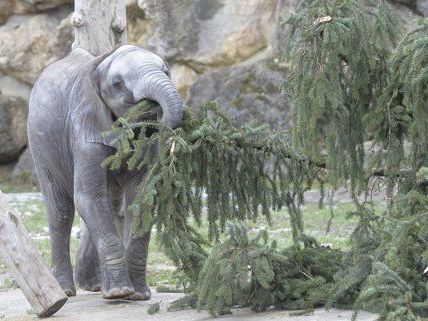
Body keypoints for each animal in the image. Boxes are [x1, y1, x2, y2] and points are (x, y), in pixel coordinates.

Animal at [26, 45, 184, 300]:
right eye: (117, 84)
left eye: (167, 72)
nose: (155, 111)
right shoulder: (84, 128)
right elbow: (87, 197)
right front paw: (120, 293)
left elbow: (140, 198)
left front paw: (138, 295)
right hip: (39, 143)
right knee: (61, 208)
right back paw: (66, 291)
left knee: (109, 202)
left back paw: (93, 285)